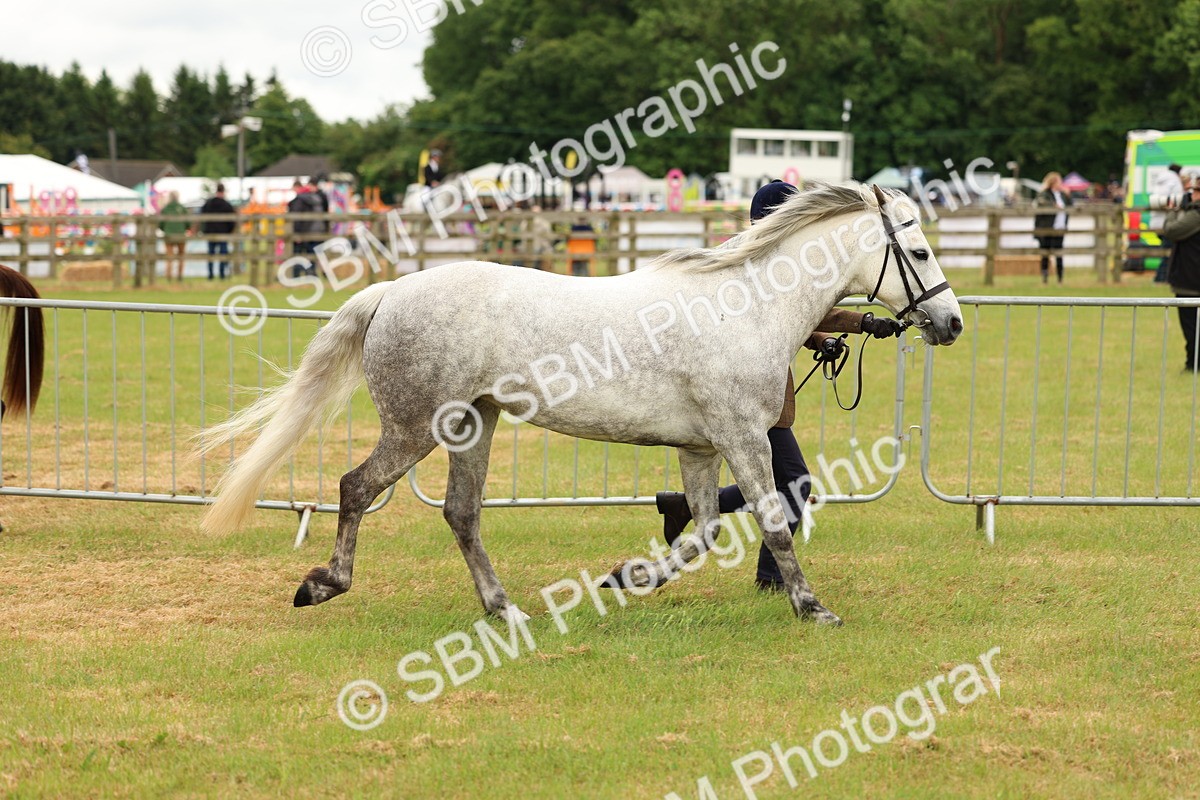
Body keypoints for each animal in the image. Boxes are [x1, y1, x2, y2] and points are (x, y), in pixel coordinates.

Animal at [198, 183, 962, 626]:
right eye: (921, 252)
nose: (950, 323)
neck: (748, 305)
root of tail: (391, 292)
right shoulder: (742, 435)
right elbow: (772, 522)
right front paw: (813, 607)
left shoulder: (700, 447)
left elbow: (705, 532)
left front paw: (627, 578)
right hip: (416, 426)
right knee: (356, 487)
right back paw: (322, 585)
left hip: (472, 423)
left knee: (461, 513)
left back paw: (504, 609)